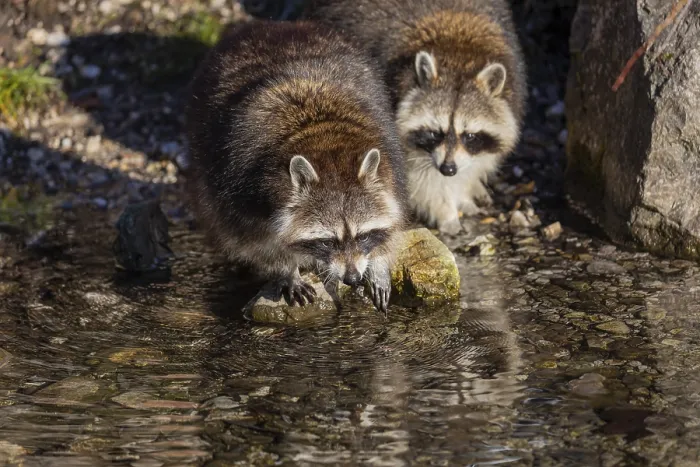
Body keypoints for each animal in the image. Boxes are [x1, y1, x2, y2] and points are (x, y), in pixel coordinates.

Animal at [185, 20, 408, 314]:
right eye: (328, 241)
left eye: (362, 237)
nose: (351, 278)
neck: (323, 137)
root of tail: (271, 26)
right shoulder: (239, 189)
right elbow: (253, 240)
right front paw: (286, 269)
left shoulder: (392, 163)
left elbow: (394, 218)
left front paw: (379, 261)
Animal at [305, 0, 527, 235]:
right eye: (434, 133)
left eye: (470, 136)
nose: (448, 169)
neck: (458, 53)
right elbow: (418, 177)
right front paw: (445, 210)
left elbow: (476, 160)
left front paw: (463, 189)